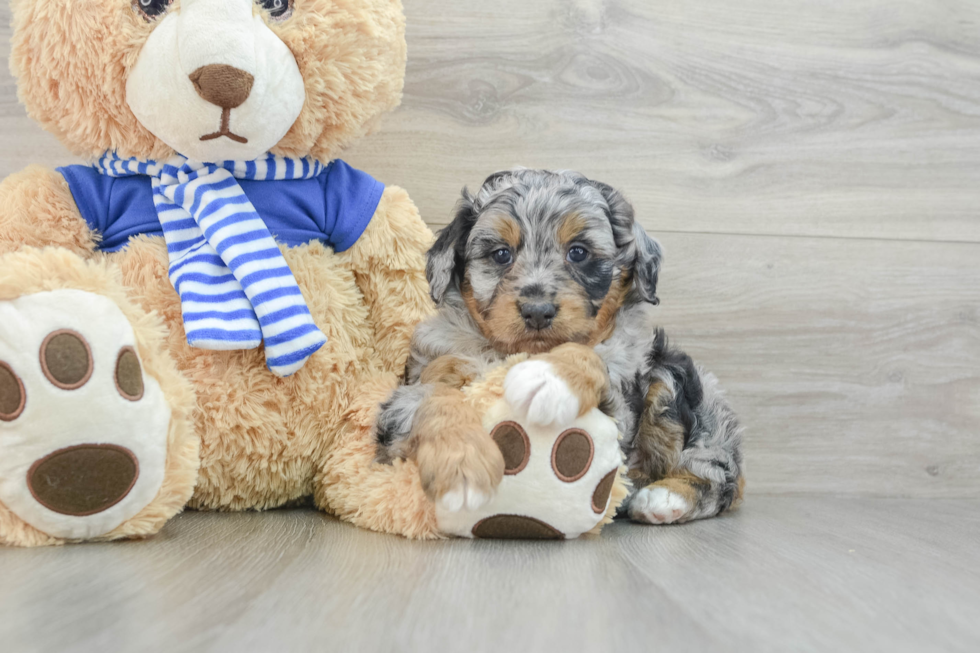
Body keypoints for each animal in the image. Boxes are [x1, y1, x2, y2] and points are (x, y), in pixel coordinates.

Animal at [376, 168, 744, 524]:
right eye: (501, 254)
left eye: (578, 252)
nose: (537, 310)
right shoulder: (426, 373)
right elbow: (433, 396)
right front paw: (461, 468)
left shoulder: (617, 407)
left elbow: (586, 355)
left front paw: (551, 378)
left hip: (673, 379)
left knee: (720, 473)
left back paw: (665, 498)